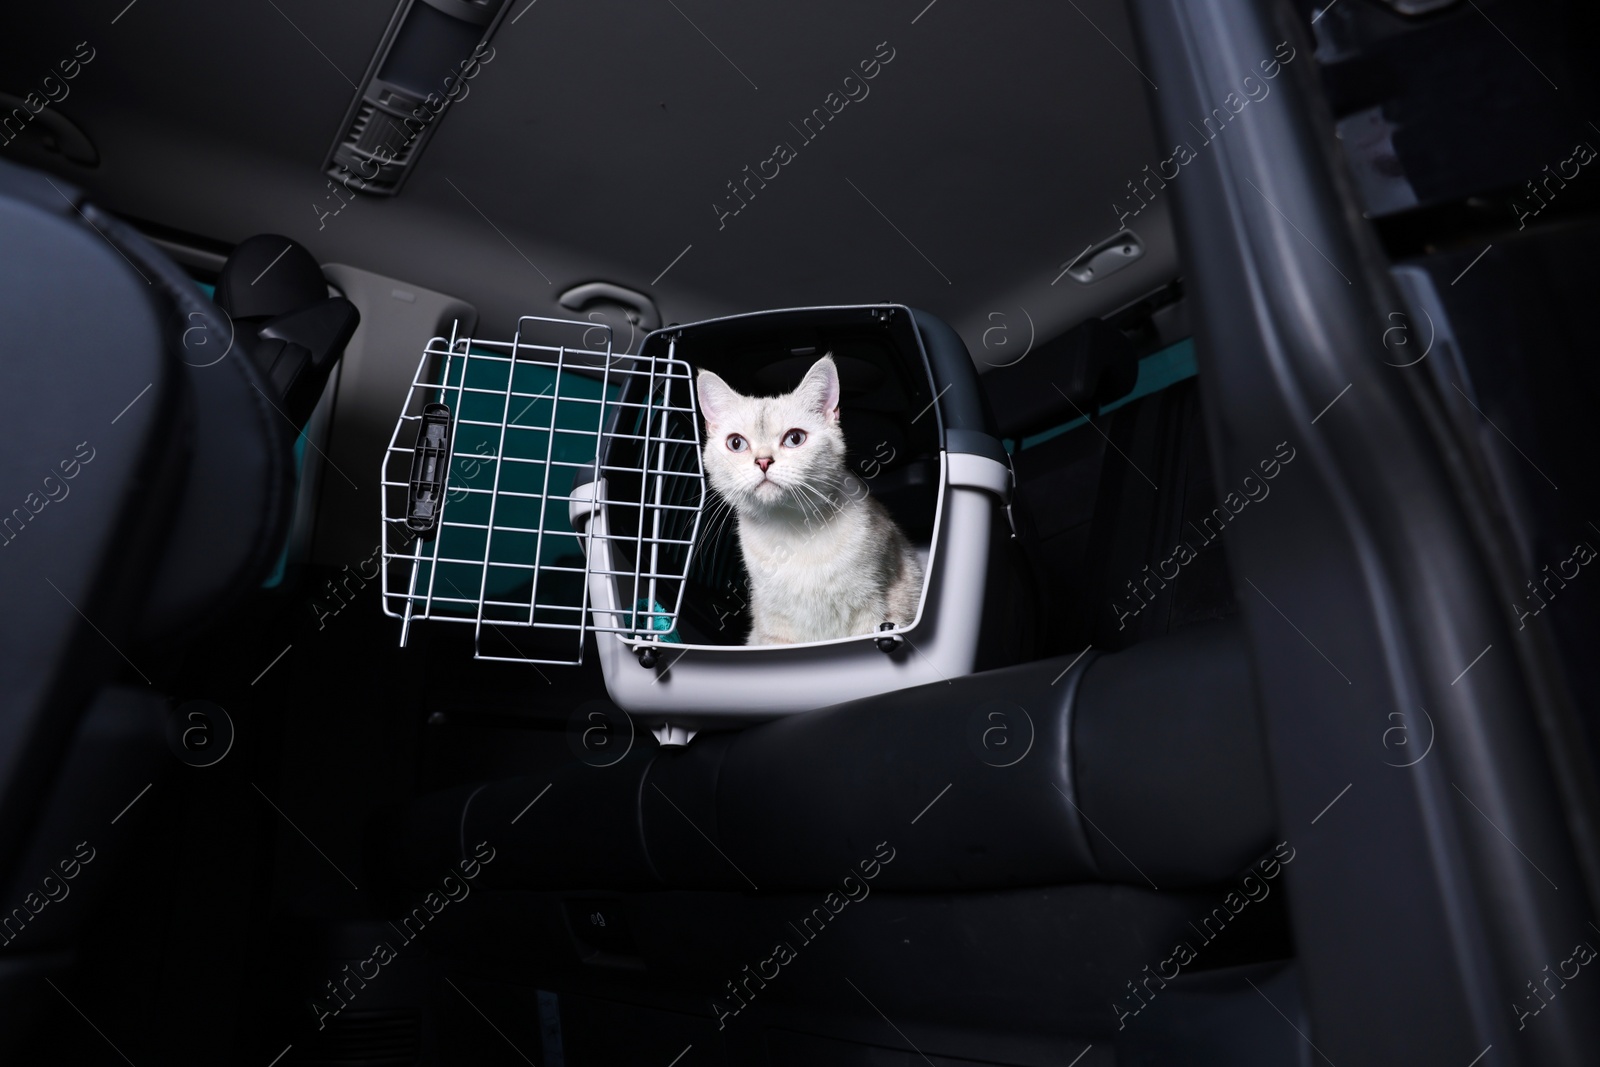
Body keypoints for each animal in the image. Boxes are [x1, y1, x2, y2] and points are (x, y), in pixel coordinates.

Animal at [697, 355, 928, 646]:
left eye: (795, 438)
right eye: (736, 443)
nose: (763, 461)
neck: (793, 531)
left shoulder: (879, 610)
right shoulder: (773, 628)